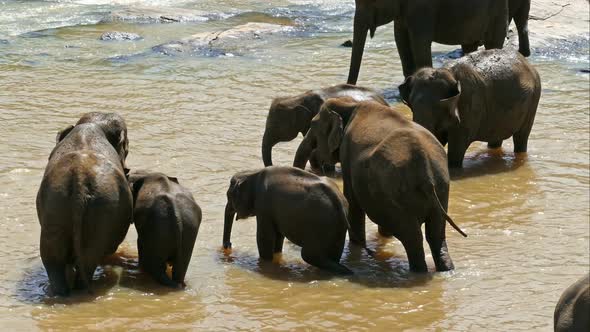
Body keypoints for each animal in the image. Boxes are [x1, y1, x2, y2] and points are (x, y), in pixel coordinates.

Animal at [37, 112, 134, 296]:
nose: (128, 170)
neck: (92, 125)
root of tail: (79, 180)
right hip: (102, 210)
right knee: (89, 259)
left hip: (56, 207)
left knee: (54, 259)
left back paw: (60, 292)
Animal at [221, 166, 352, 274]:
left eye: (229, 196)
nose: (228, 246)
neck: (252, 173)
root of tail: (339, 202)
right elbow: (278, 237)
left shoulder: (264, 205)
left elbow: (264, 238)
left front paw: (266, 261)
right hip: (337, 227)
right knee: (332, 254)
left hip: (320, 225)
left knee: (308, 255)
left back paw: (345, 271)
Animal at [294, 96, 468, 272]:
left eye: (312, 125)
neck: (351, 104)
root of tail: (424, 169)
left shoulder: (347, 154)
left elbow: (352, 201)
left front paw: (357, 245)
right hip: (440, 186)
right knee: (435, 234)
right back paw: (446, 269)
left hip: (398, 195)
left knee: (413, 237)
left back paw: (418, 271)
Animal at [350, 0, 512, 81]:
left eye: (371, 2)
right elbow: (401, 40)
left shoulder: (422, 9)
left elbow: (419, 42)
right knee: (469, 45)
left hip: (497, 12)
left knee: (493, 42)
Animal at [400, 48, 544, 169]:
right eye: (411, 105)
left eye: (438, 107)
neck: (448, 72)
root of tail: (526, 62)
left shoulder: (469, 105)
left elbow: (457, 146)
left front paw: (453, 168)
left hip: (534, 99)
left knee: (522, 136)